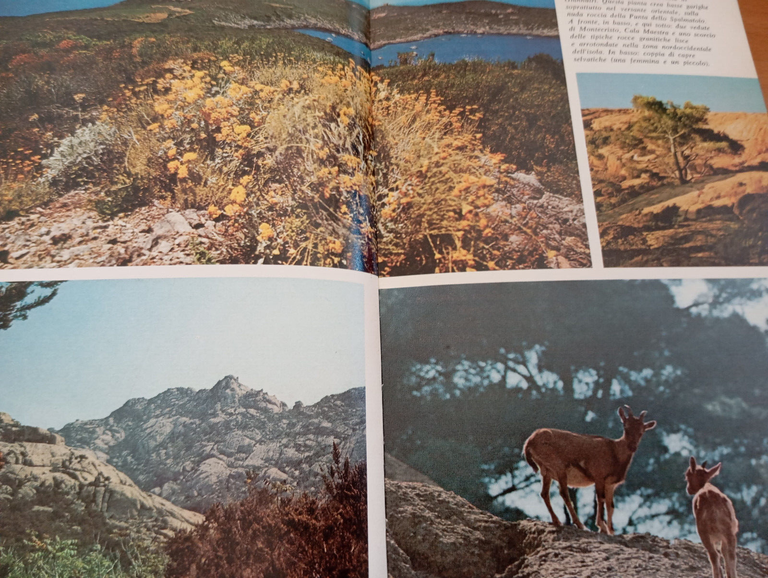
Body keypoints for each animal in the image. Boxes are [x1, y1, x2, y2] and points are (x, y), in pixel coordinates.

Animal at [520, 402, 656, 532]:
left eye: (642, 431)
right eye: (625, 427)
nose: (632, 447)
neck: (615, 452)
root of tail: (529, 442)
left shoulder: (610, 484)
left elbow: (610, 506)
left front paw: (611, 531)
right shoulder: (599, 476)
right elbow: (600, 499)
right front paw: (602, 526)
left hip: (546, 471)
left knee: (544, 493)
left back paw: (557, 520)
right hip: (559, 468)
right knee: (564, 493)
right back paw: (580, 524)